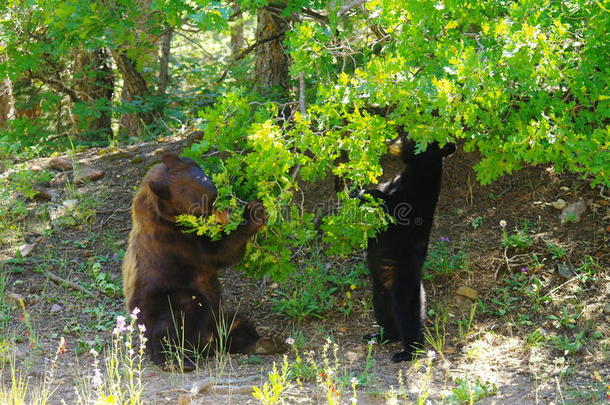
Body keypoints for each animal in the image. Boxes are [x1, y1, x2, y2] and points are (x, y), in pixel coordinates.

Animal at [121, 152, 282, 370]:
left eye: (208, 181)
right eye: (201, 202)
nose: (220, 202)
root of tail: (205, 344)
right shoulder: (172, 241)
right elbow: (216, 254)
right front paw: (253, 211)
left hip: (219, 320)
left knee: (238, 325)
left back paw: (266, 342)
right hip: (158, 302)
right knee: (174, 319)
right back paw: (175, 360)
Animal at [360, 137, 452, 362]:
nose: (390, 140)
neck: (417, 170)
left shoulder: (415, 198)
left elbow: (392, 211)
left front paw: (366, 193)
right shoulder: (397, 182)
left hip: (405, 282)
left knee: (407, 314)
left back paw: (407, 352)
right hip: (379, 291)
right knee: (384, 312)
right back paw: (380, 335)